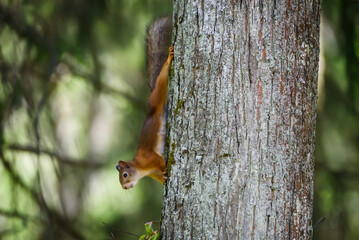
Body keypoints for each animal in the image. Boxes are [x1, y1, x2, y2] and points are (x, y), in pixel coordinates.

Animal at [116, 16, 174, 189]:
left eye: (125, 175)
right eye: (120, 180)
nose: (125, 187)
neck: (141, 168)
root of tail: (150, 106)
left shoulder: (150, 158)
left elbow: (161, 162)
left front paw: (166, 170)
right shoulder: (152, 172)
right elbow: (160, 177)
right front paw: (163, 180)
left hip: (157, 96)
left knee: (162, 80)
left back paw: (169, 60)